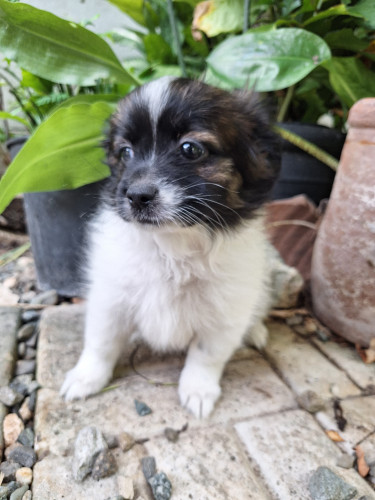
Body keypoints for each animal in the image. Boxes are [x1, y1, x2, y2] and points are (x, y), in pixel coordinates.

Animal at [61, 75, 280, 418]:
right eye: (125, 153)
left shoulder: (226, 311)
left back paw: (255, 331)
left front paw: (198, 390)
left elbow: (206, 355)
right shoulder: (111, 298)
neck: (172, 246)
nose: (137, 196)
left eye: (190, 149)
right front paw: (85, 378)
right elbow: (101, 342)